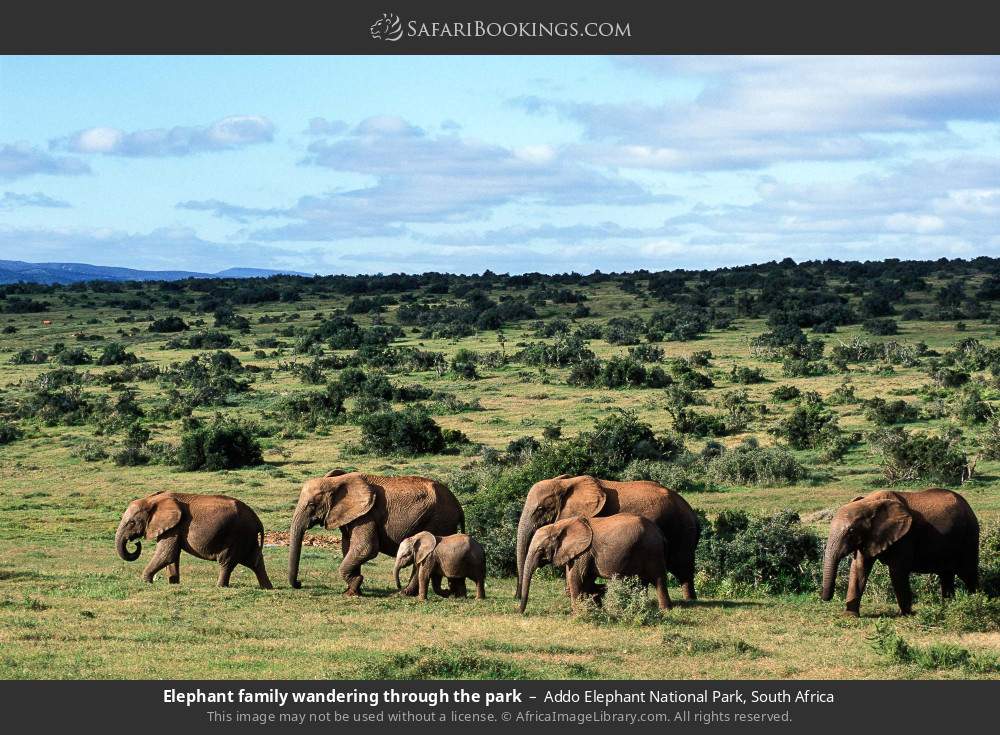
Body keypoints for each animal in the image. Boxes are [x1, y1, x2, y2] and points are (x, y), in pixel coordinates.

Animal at [115, 491, 272, 588]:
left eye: (131, 523)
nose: (136, 542)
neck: (152, 500)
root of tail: (257, 520)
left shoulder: (174, 527)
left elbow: (166, 555)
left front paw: (145, 581)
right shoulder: (174, 527)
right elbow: (172, 557)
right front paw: (173, 584)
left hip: (237, 534)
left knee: (226, 561)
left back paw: (220, 587)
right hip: (247, 536)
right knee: (255, 561)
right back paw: (267, 588)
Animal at [288, 470, 464, 595]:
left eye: (311, 505)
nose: (299, 583)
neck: (336, 482)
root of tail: (458, 505)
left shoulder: (367, 514)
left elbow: (366, 548)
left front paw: (355, 586)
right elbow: (348, 548)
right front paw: (352, 591)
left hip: (439, 519)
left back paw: (403, 594)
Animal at [515, 475, 699, 601]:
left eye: (540, 509)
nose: (516, 597)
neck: (566, 483)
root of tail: (691, 511)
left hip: (680, 530)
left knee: (682, 567)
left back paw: (689, 601)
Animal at [519, 514, 671, 614]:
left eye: (540, 550)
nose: (520, 612)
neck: (559, 525)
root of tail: (659, 532)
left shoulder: (584, 551)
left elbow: (576, 578)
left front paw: (578, 614)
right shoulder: (581, 552)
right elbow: (583, 579)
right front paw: (591, 608)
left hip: (652, 550)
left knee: (658, 579)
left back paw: (665, 610)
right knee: (641, 583)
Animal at [821, 488, 979, 616]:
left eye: (851, 531)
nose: (825, 598)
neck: (869, 503)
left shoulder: (905, 536)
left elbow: (897, 571)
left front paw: (906, 614)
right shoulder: (869, 536)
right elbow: (859, 568)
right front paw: (850, 616)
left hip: (969, 537)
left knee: (969, 573)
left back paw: (976, 601)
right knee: (946, 574)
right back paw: (947, 606)